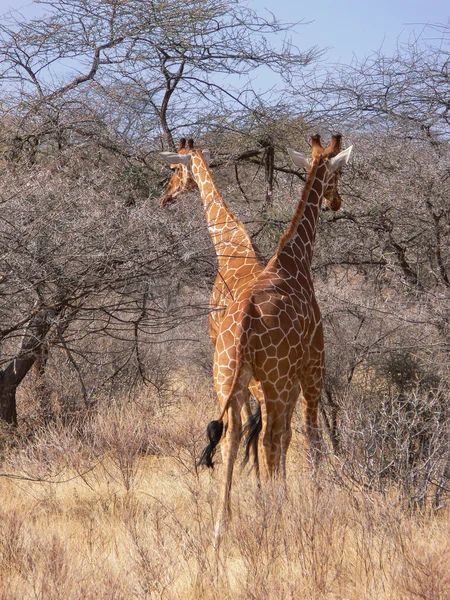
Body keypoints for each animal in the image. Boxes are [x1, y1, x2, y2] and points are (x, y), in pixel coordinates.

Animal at [199, 135, 354, 540]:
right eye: (338, 173)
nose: (335, 201)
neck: (295, 259)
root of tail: (245, 323)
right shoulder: (313, 366)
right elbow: (310, 435)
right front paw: (315, 499)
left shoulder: (285, 380)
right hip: (276, 378)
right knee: (271, 437)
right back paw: (272, 514)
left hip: (228, 377)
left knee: (233, 436)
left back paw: (222, 527)